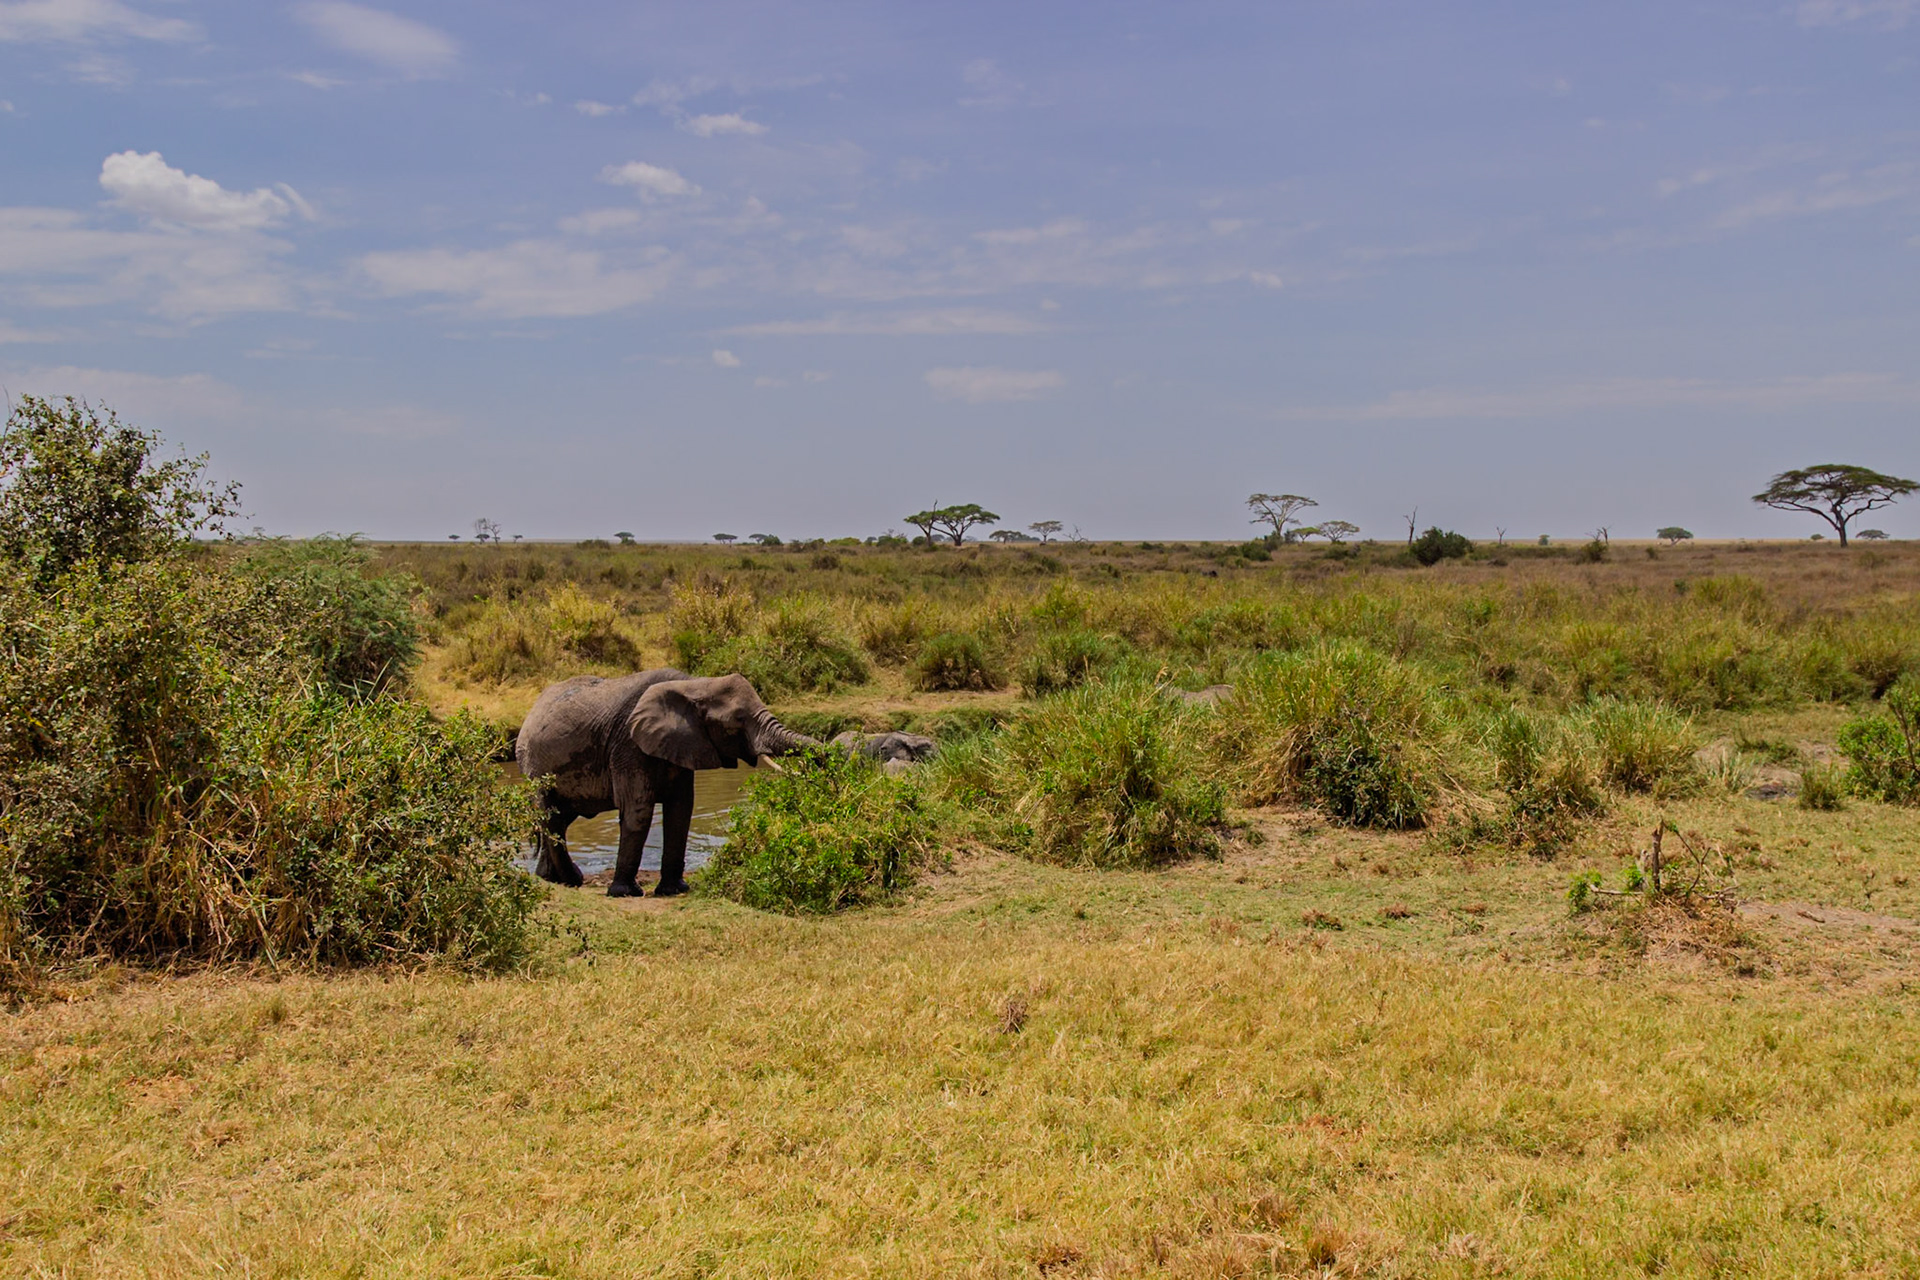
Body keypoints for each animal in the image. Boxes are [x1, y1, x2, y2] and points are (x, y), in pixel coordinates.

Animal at [516, 669, 817, 897]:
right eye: (736, 722)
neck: (694, 684)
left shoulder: (683, 744)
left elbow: (681, 810)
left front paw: (675, 890)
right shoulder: (628, 745)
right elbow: (639, 811)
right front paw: (626, 893)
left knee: (559, 820)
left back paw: (551, 878)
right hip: (533, 766)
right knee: (550, 817)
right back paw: (570, 880)